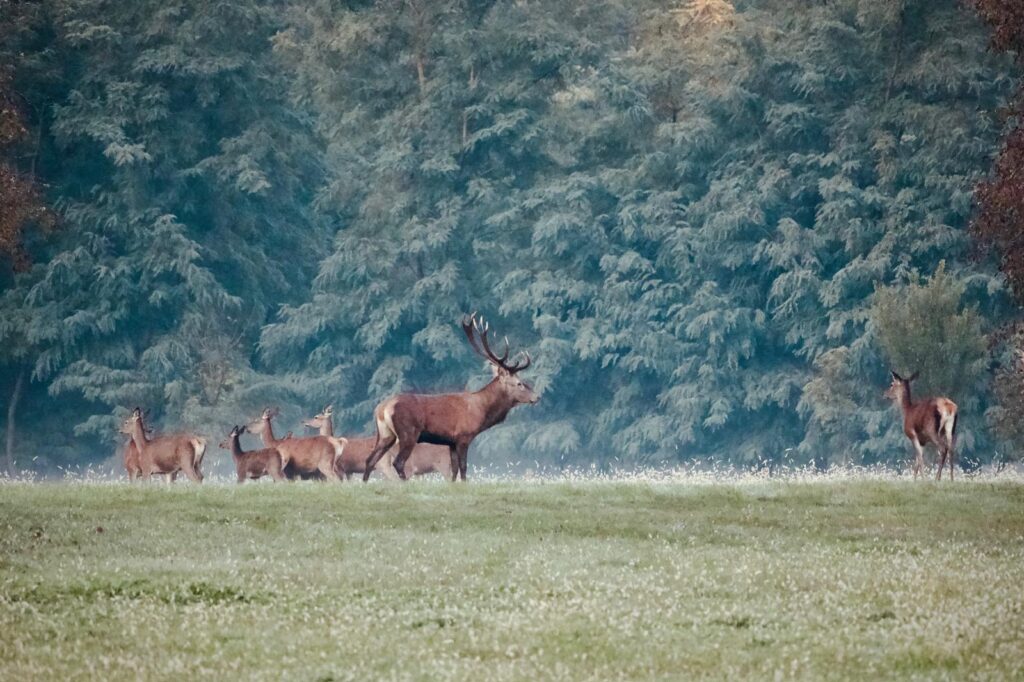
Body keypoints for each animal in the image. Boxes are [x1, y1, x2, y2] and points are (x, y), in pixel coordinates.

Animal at [363, 313, 539, 482]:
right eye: (519, 383)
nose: (536, 397)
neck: (481, 411)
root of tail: (382, 409)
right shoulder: (463, 436)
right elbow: (463, 467)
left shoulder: (451, 442)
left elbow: (454, 470)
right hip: (408, 432)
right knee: (398, 462)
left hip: (385, 434)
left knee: (370, 459)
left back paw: (365, 483)